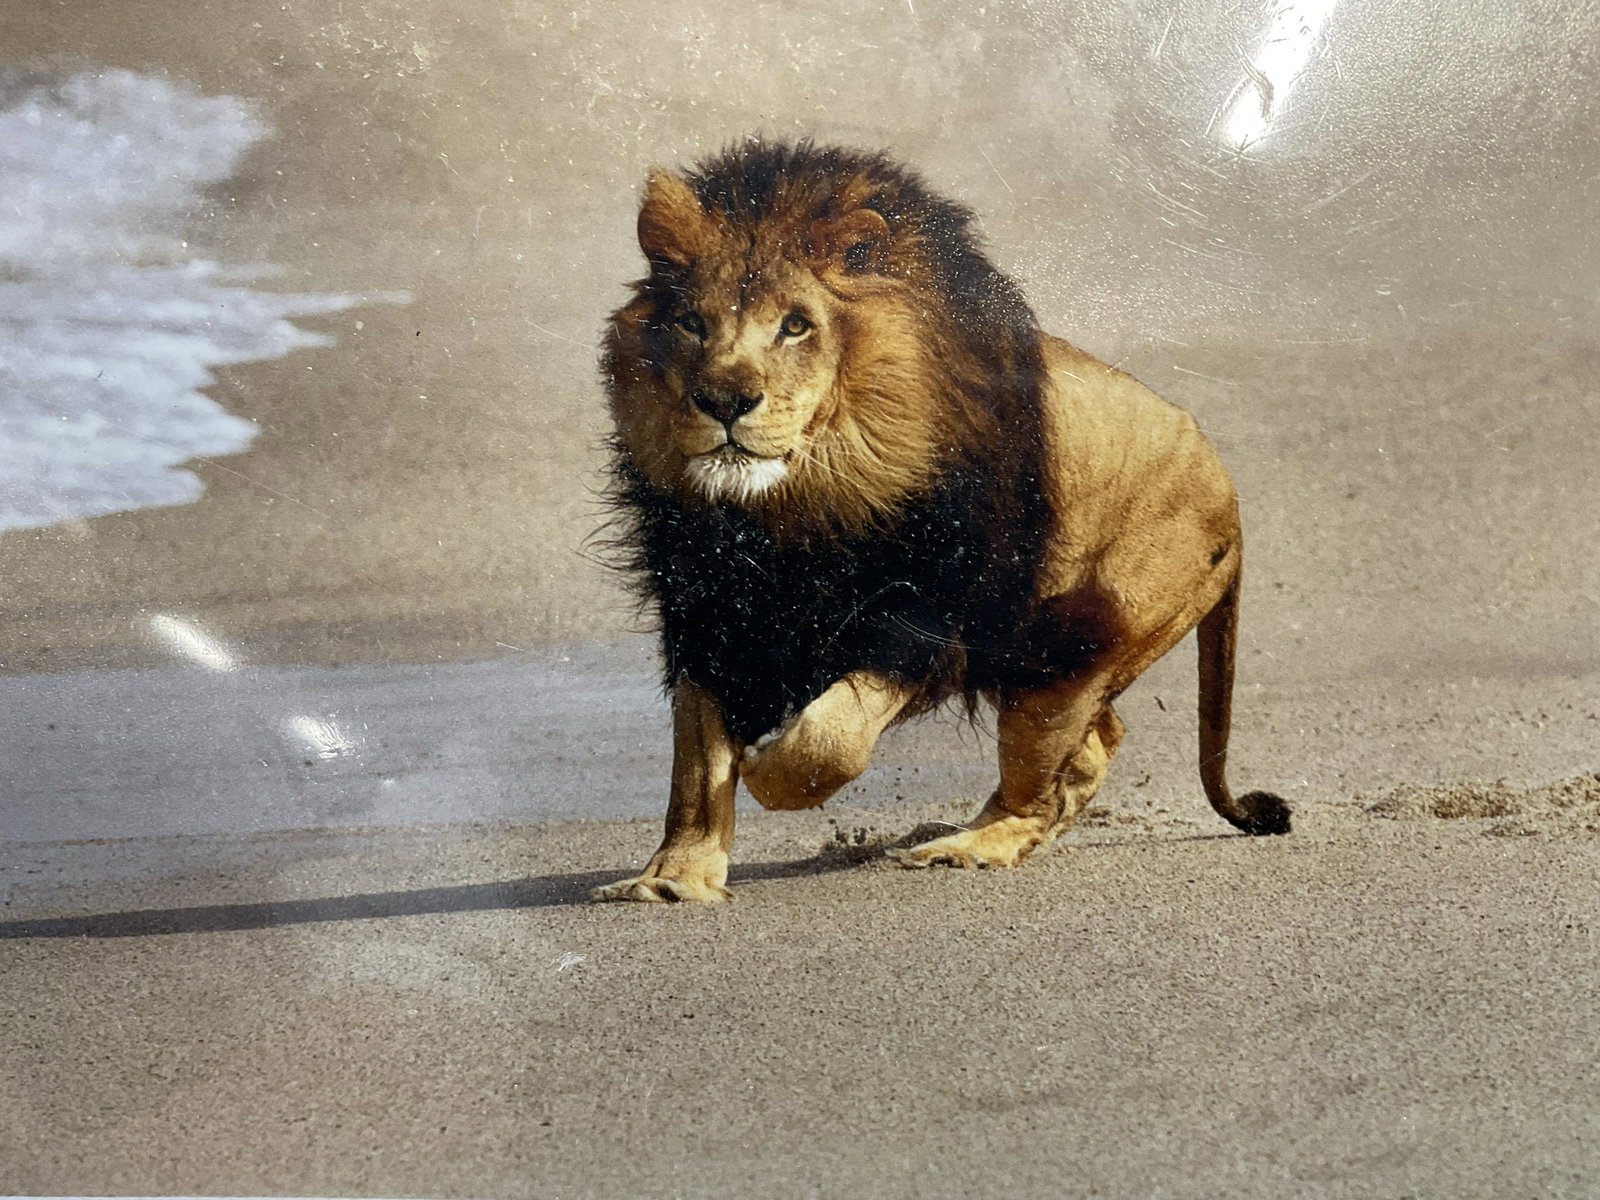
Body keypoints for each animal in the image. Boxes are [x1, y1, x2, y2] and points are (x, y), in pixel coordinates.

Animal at [592, 140, 1288, 903]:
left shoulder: (925, 617)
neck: (790, 511)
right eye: (691, 323)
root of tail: (1234, 500)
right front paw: (672, 876)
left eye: (796, 324)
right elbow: (695, 760)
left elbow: (829, 740)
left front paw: (769, 767)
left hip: (1073, 648)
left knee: (1044, 778)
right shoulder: (702, 609)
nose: (723, 400)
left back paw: (963, 846)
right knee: (1096, 746)